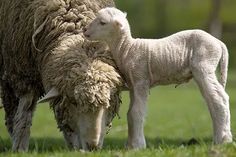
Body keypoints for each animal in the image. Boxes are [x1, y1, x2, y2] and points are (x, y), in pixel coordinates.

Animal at [0, 0, 121, 152]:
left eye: (109, 102)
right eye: (74, 102)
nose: (92, 147)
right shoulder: (20, 75)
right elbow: (23, 115)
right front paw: (19, 148)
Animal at [84, 7, 232, 150]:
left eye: (102, 22)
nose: (85, 31)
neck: (127, 49)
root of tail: (219, 43)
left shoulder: (141, 79)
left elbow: (136, 112)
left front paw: (138, 146)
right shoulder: (133, 84)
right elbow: (130, 113)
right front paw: (130, 145)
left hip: (204, 66)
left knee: (219, 98)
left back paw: (223, 139)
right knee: (212, 99)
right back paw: (220, 137)